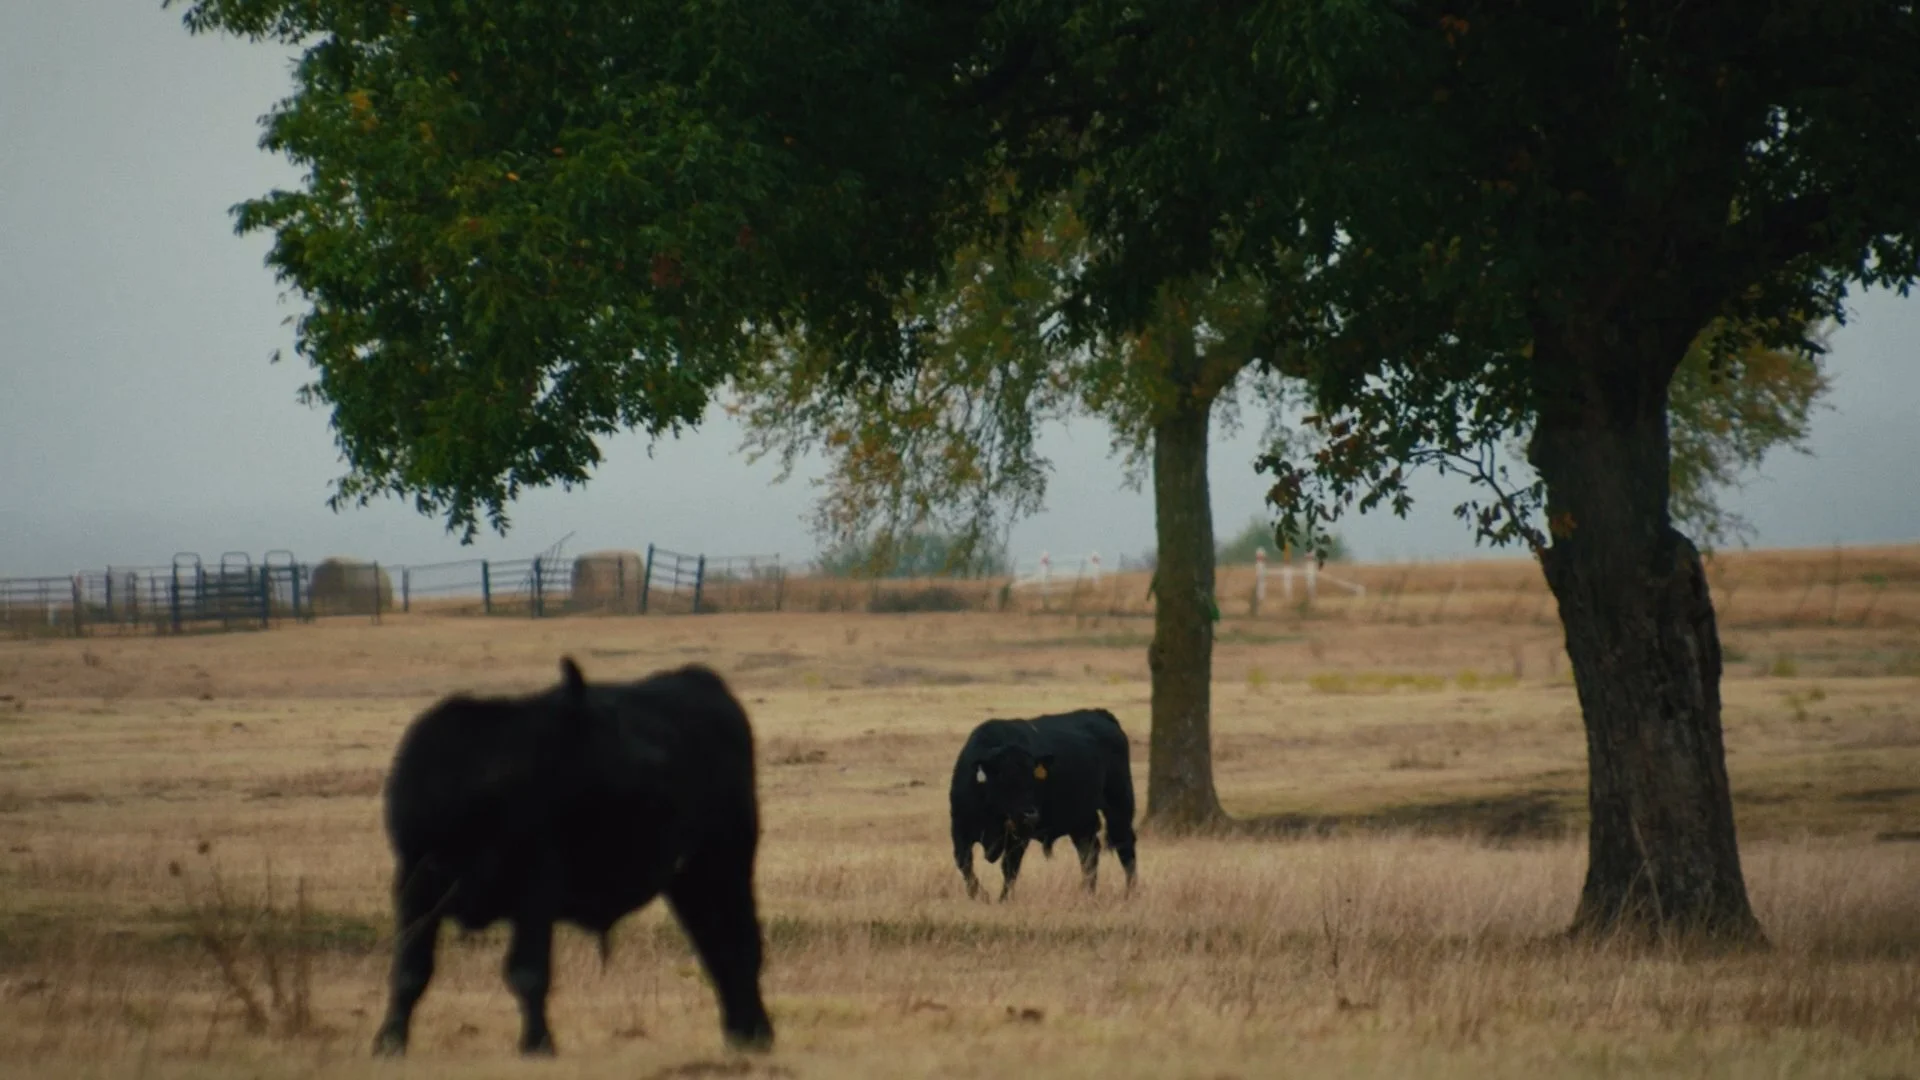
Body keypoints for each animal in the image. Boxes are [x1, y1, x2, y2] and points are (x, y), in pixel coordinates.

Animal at [370, 657, 774, 1058]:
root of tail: (698, 679)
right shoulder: (414, 886)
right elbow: (410, 971)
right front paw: (389, 1041)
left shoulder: (535, 891)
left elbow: (527, 972)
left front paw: (538, 1042)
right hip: (689, 877)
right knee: (715, 943)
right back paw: (740, 1032)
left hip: (727, 860)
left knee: (740, 941)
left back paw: (756, 1033)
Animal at [948, 709, 1139, 901]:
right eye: (1002, 776)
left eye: (1033, 777)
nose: (1030, 814)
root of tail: (1099, 714)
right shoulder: (960, 830)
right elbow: (964, 862)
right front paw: (980, 895)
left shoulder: (1019, 836)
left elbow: (1009, 867)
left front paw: (1003, 900)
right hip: (1082, 821)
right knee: (1089, 852)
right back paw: (1088, 893)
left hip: (1119, 806)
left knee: (1124, 846)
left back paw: (1129, 893)